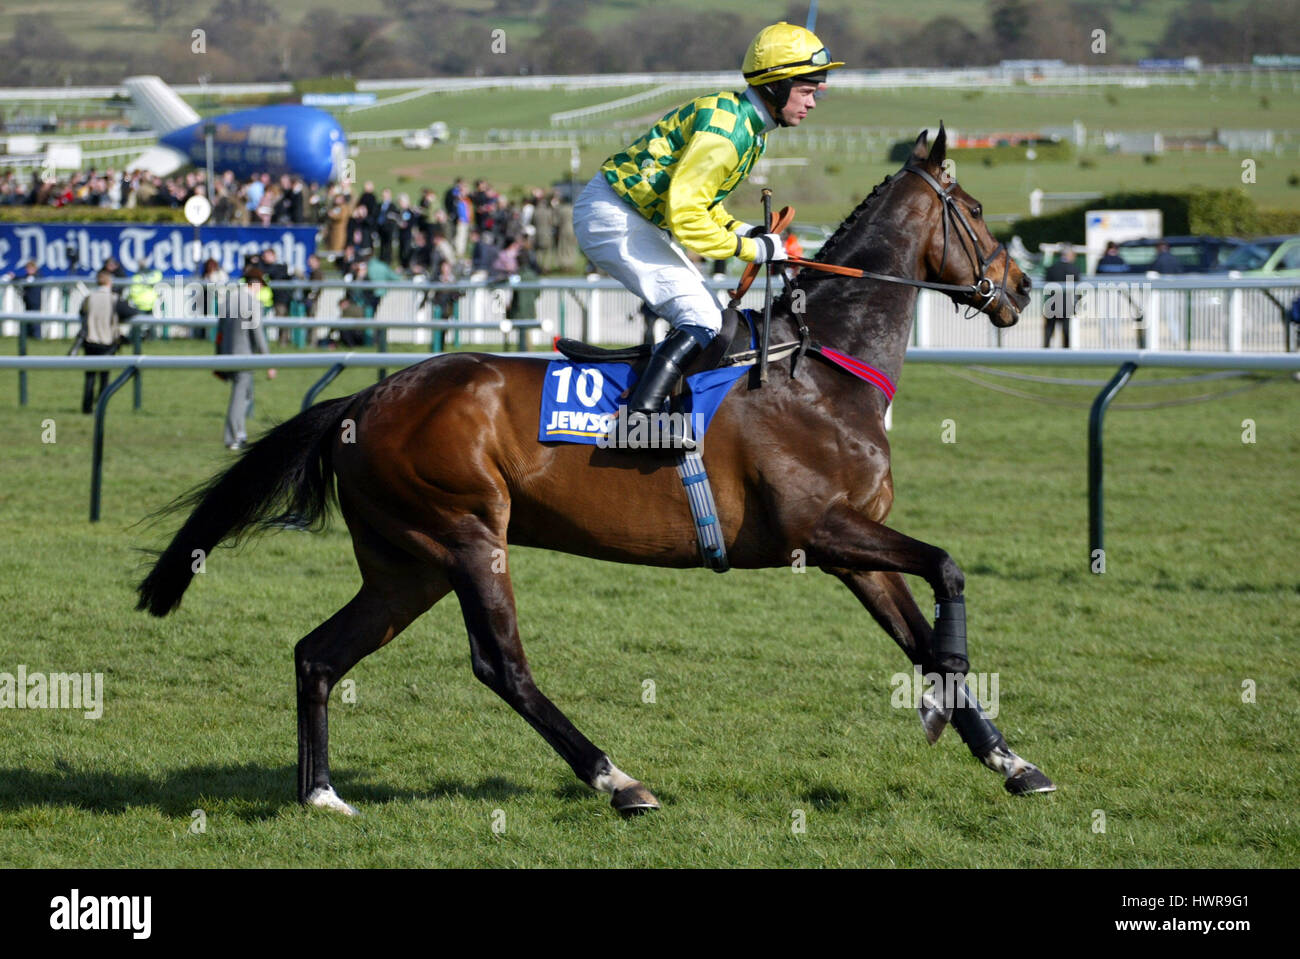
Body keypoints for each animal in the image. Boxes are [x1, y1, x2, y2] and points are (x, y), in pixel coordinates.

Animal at [139, 127, 1055, 816]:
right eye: (976, 210)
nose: (1022, 285)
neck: (819, 365)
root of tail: (366, 396)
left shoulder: (849, 547)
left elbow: (924, 638)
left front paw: (1010, 760)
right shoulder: (817, 528)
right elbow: (949, 569)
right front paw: (952, 718)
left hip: (408, 563)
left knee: (318, 654)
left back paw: (321, 793)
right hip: (467, 534)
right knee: (501, 666)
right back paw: (617, 779)